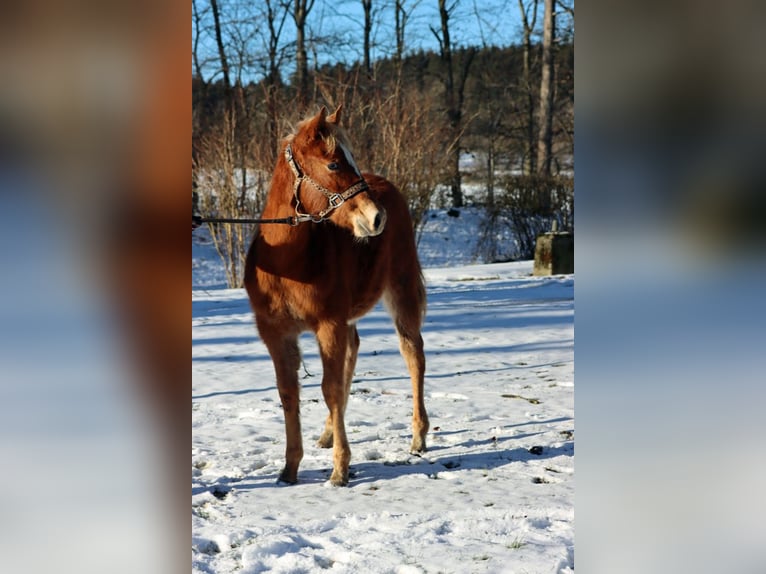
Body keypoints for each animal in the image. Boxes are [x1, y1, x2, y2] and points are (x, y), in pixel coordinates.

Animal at [244, 107, 428, 486]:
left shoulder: (328, 324)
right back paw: (329, 434)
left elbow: (328, 389)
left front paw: (340, 470)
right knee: (352, 354)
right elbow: (289, 392)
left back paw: (418, 437)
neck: (287, 263)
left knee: (413, 354)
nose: (376, 217)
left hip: (400, 290)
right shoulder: (275, 333)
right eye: (333, 164)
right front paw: (290, 468)